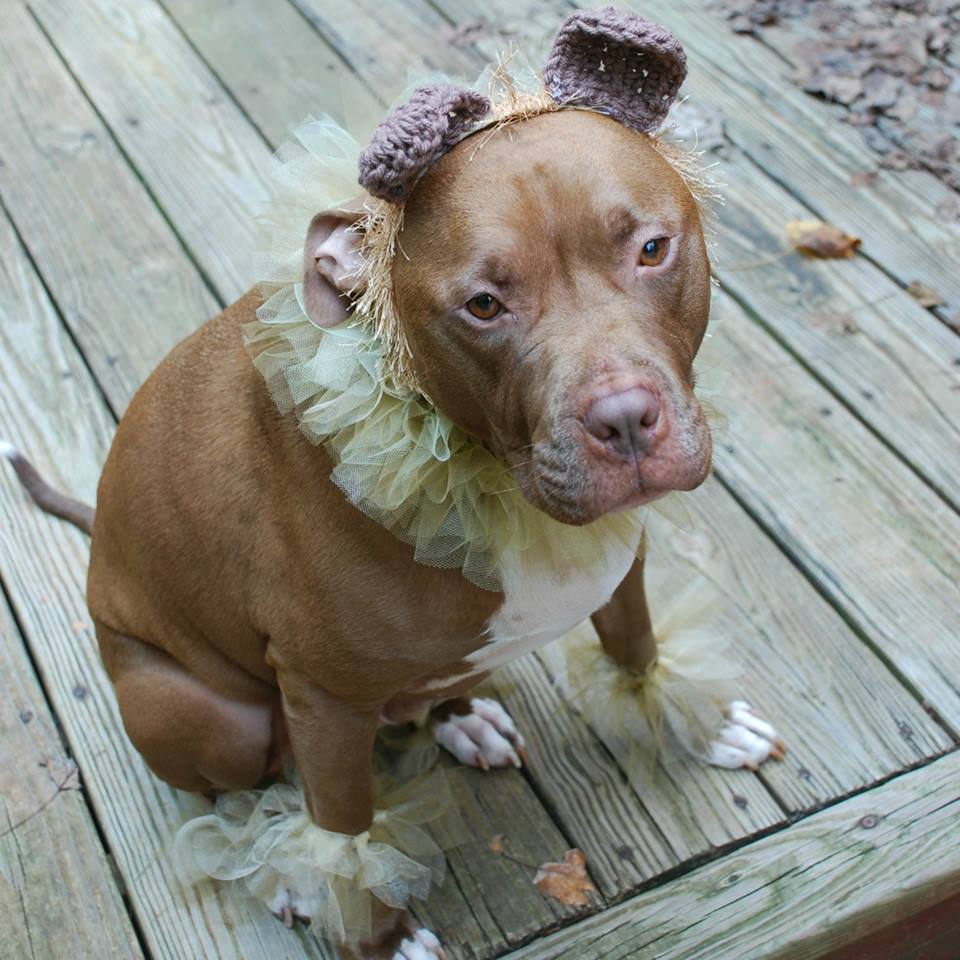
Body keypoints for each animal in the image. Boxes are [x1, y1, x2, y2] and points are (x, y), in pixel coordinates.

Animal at [3, 9, 780, 960]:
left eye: (652, 249)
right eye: (483, 305)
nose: (627, 420)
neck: (483, 471)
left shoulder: (619, 558)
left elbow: (633, 644)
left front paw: (692, 718)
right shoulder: (322, 697)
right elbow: (343, 831)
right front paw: (372, 925)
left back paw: (462, 717)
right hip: (211, 714)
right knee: (242, 792)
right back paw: (287, 866)